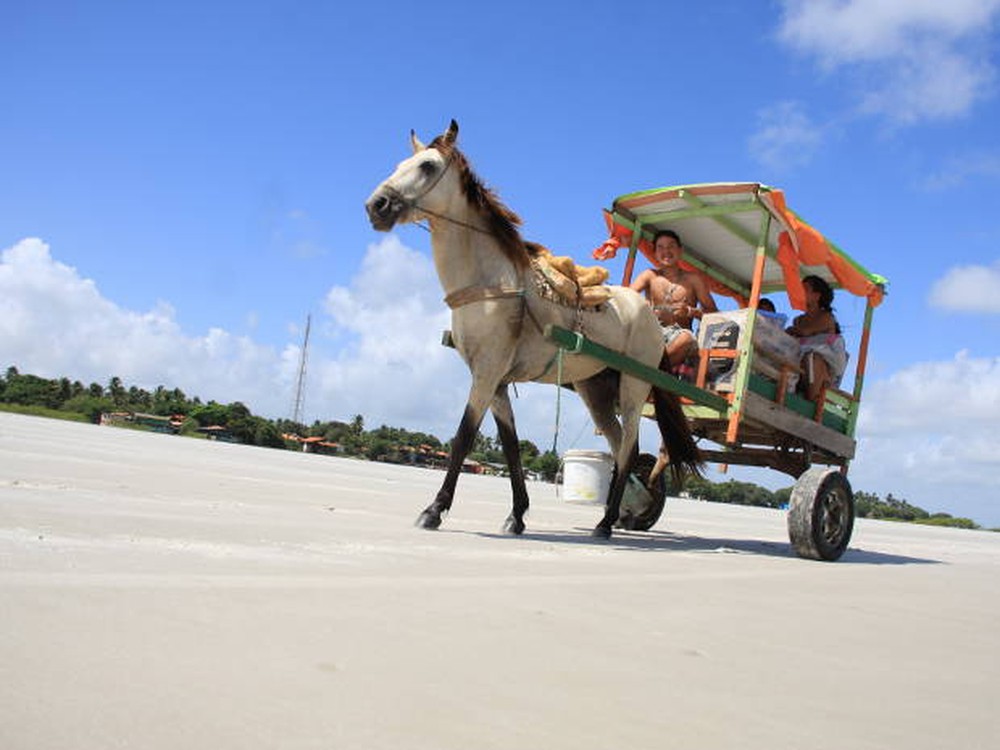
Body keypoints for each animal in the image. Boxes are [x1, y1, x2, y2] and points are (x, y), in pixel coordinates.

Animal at [364, 120, 700, 536]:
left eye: (427, 166)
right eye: (400, 164)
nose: (376, 205)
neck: (491, 284)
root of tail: (651, 315)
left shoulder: (487, 374)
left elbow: (462, 438)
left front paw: (435, 509)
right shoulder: (495, 381)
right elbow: (510, 446)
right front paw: (517, 514)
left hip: (635, 387)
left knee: (628, 447)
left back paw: (606, 522)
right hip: (596, 390)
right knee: (624, 445)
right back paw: (621, 513)